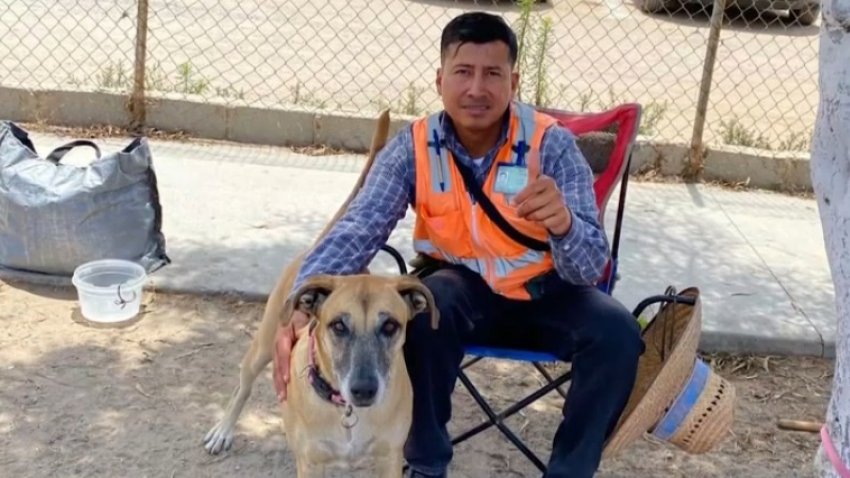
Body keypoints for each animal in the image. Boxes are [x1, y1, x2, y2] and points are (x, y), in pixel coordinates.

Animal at [201, 110, 434, 476]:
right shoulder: (311, 463)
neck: (347, 412)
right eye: (338, 325)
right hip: (263, 346)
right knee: (243, 385)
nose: (364, 390)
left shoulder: (390, 458)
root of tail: (316, 248)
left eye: (390, 326)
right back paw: (223, 430)